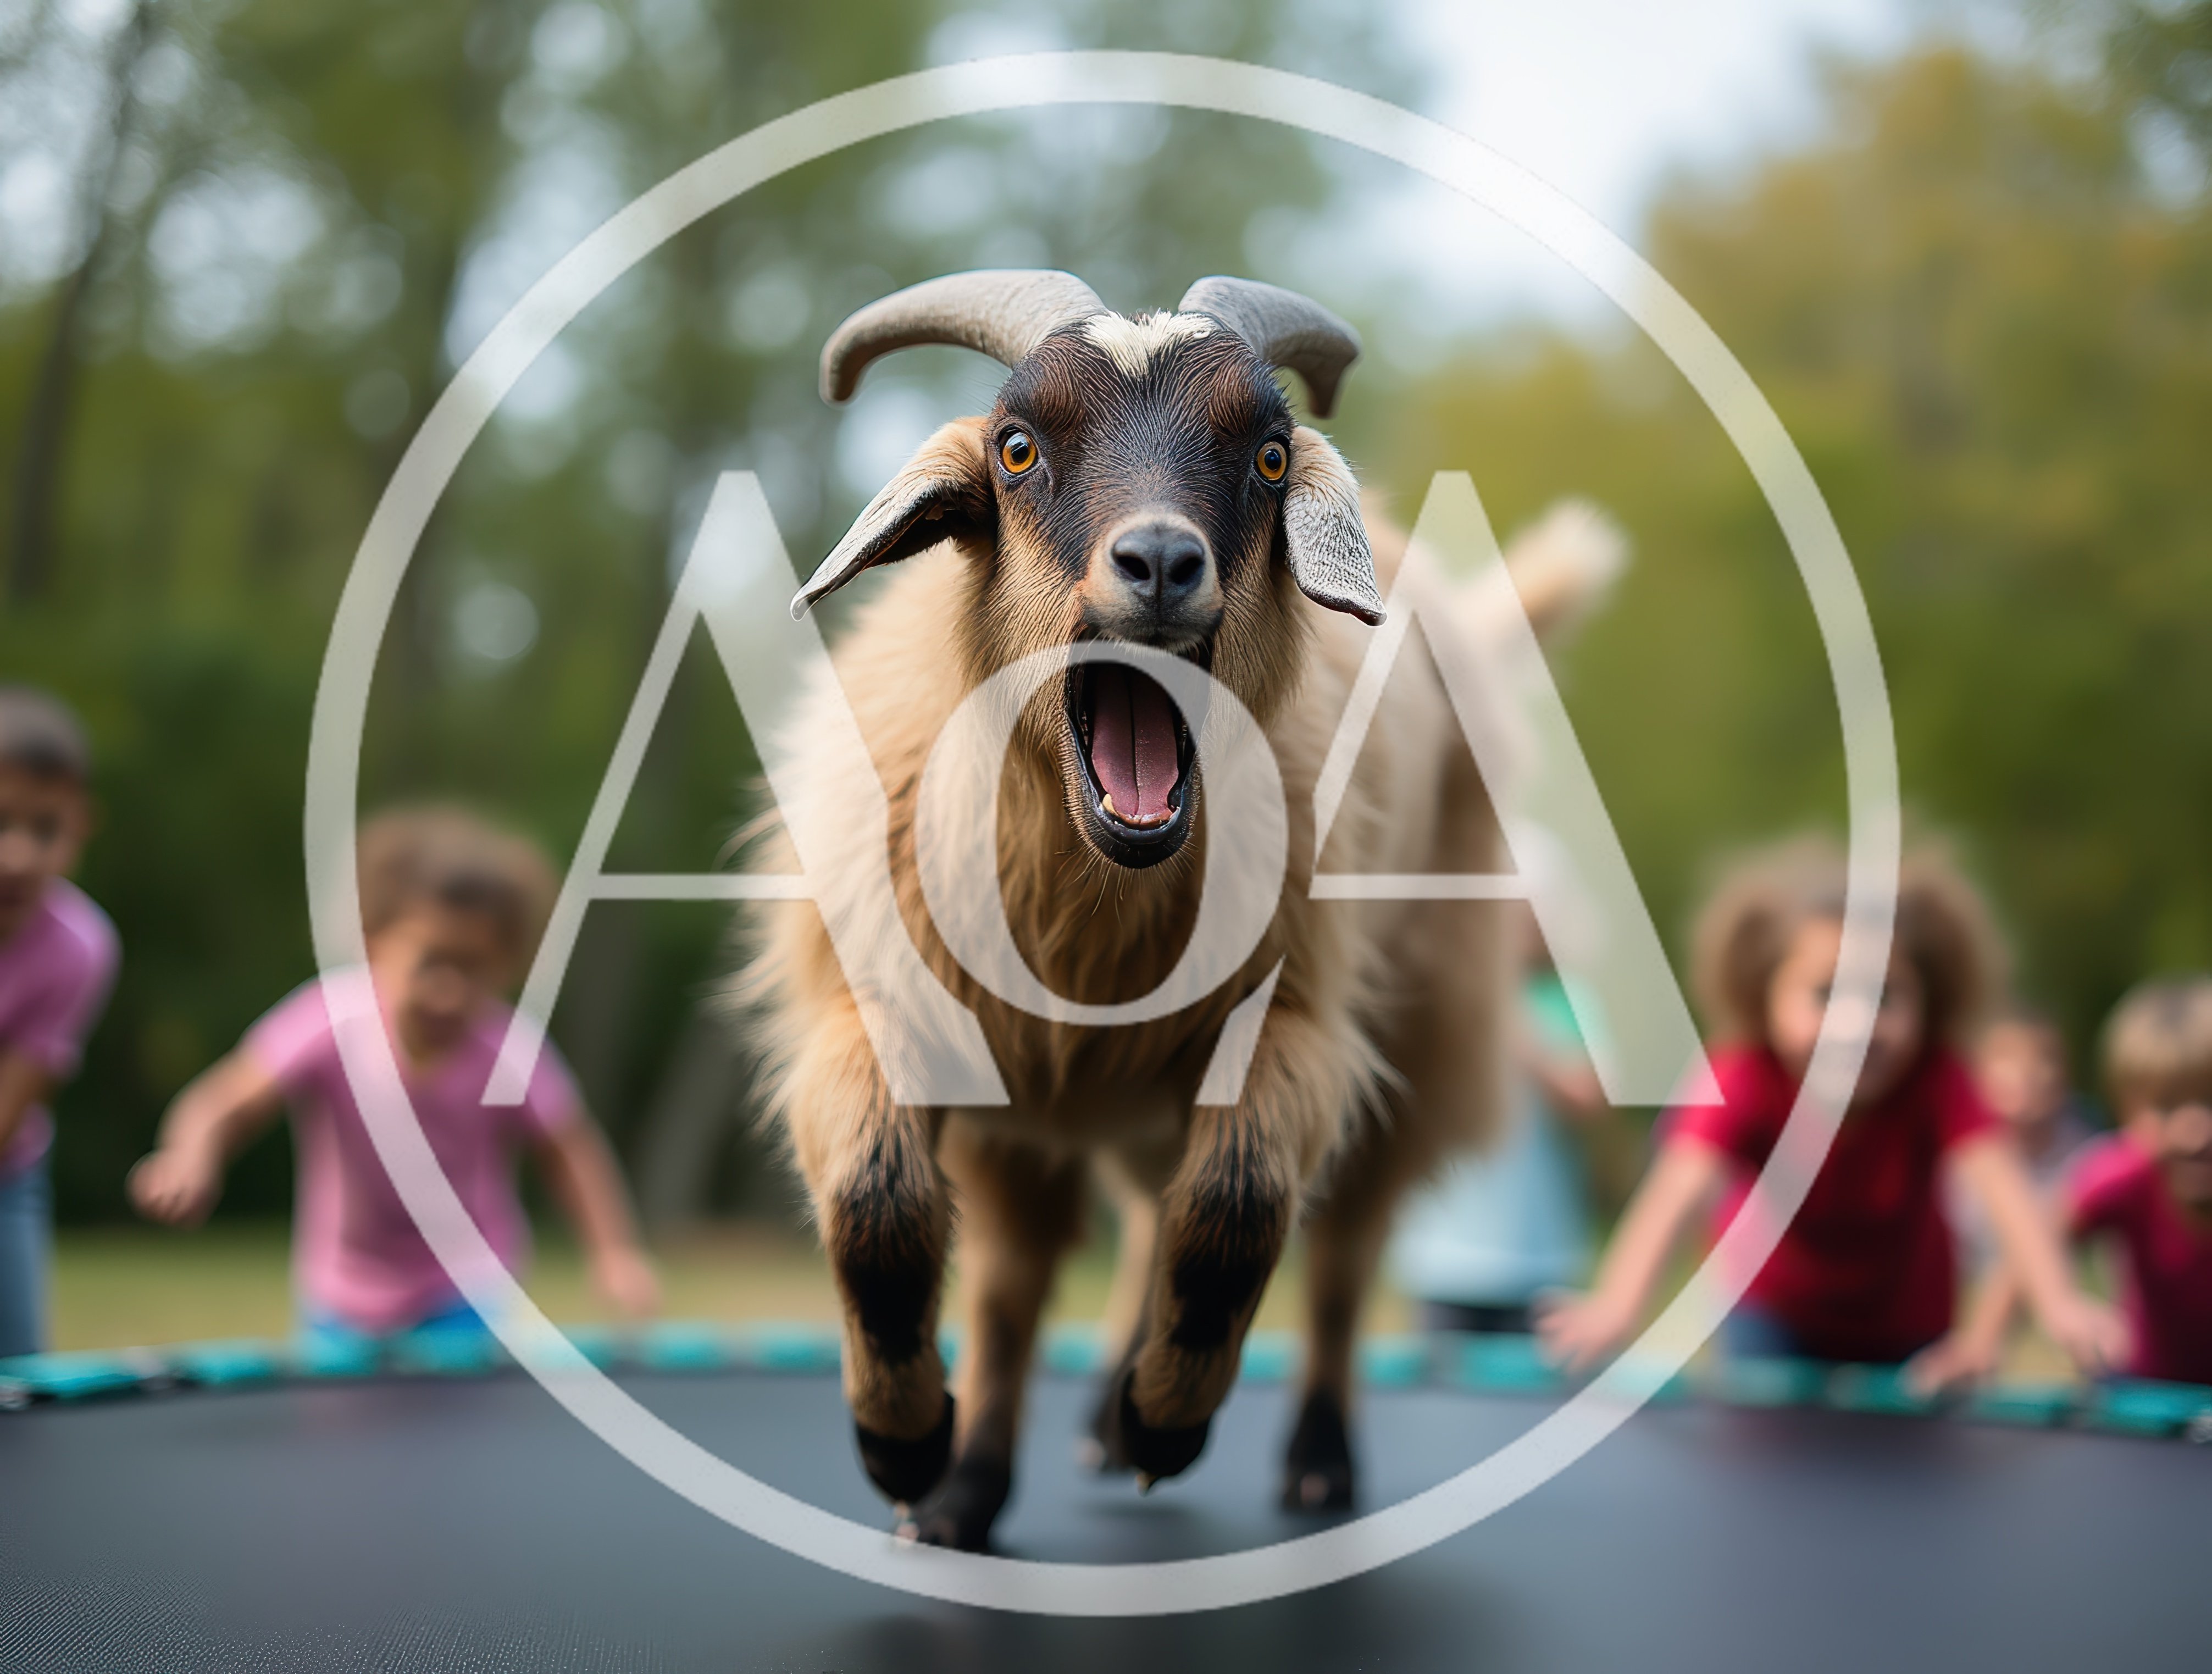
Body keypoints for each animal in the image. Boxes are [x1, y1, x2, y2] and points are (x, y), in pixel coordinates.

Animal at [744, 269, 1589, 1550]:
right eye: (1016, 447)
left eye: (1271, 456)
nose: (1156, 559)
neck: (1095, 905)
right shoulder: (906, 1023)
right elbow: (893, 1213)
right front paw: (915, 1455)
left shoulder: (1293, 1026)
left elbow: (1237, 1209)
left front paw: (1166, 1424)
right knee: (1082, 1251)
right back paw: (1025, 1454)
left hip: (1419, 1024)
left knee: (1339, 1256)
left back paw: (1308, 1461)